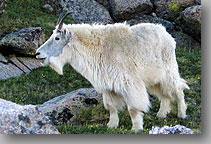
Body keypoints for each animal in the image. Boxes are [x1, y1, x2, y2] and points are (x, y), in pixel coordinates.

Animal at [35, 12, 190, 132]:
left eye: (57, 38)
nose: (37, 53)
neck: (96, 48)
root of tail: (166, 33)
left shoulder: (130, 83)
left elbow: (133, 108)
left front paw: (136, 128)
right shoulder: (107, 86)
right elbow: (111, 107)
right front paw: (112, 125)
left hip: (169, 71)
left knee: (178, 89)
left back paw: (182, 114)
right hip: (154, 78)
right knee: (165, 95)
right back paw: (161, 114)